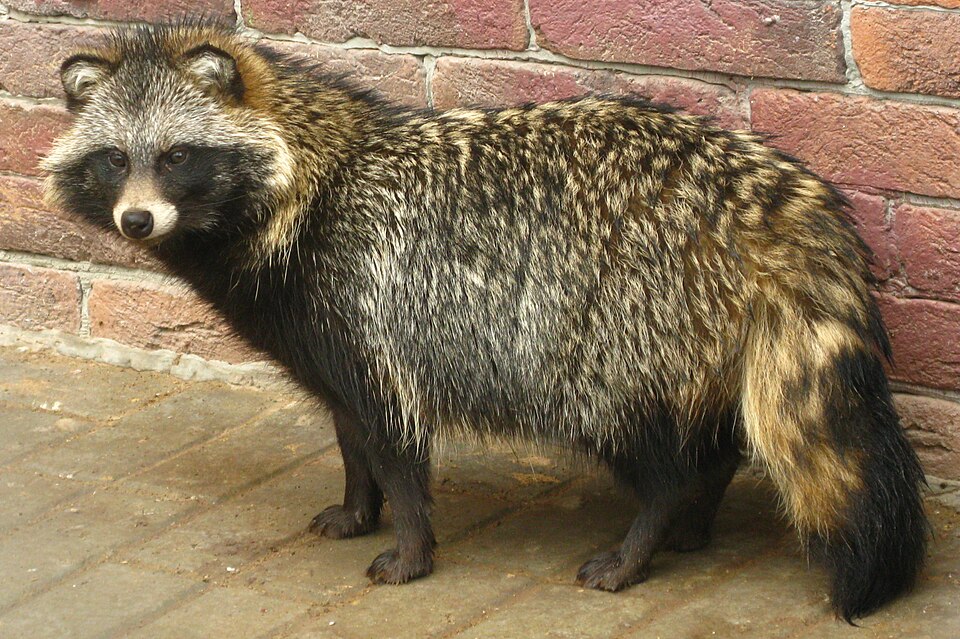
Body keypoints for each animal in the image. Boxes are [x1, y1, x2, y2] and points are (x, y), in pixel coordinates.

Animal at [43, 22, 927, 621]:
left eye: (179, 157)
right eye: (116, 159)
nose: (136, 220)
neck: (315, 179)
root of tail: (770, 196)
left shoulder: (372, 319)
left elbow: (393, 443)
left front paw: (409, 543)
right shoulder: (325, 340)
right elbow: (350, 435)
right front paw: (358, 505)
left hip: (617, 335)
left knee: (658, 452)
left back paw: (646, 534)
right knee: (711, 444)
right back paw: (694, 519)